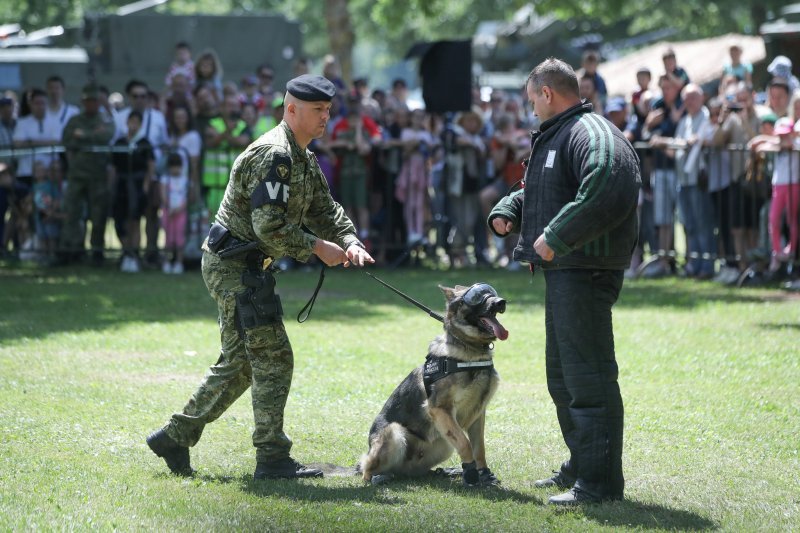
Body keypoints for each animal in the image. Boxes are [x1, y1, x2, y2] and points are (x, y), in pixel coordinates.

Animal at [360, 284, 510, 484]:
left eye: (491, 292)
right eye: (476, 296)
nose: (501, 302)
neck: (470, 350)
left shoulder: (478, 413)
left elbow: (479, 448)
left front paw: (484, 474)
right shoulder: (440, 409)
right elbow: (465, 443)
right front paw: (470, 473)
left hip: (444, 444)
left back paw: (440, 472)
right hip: (394, 433)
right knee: (366, 468)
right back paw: (378, 477)